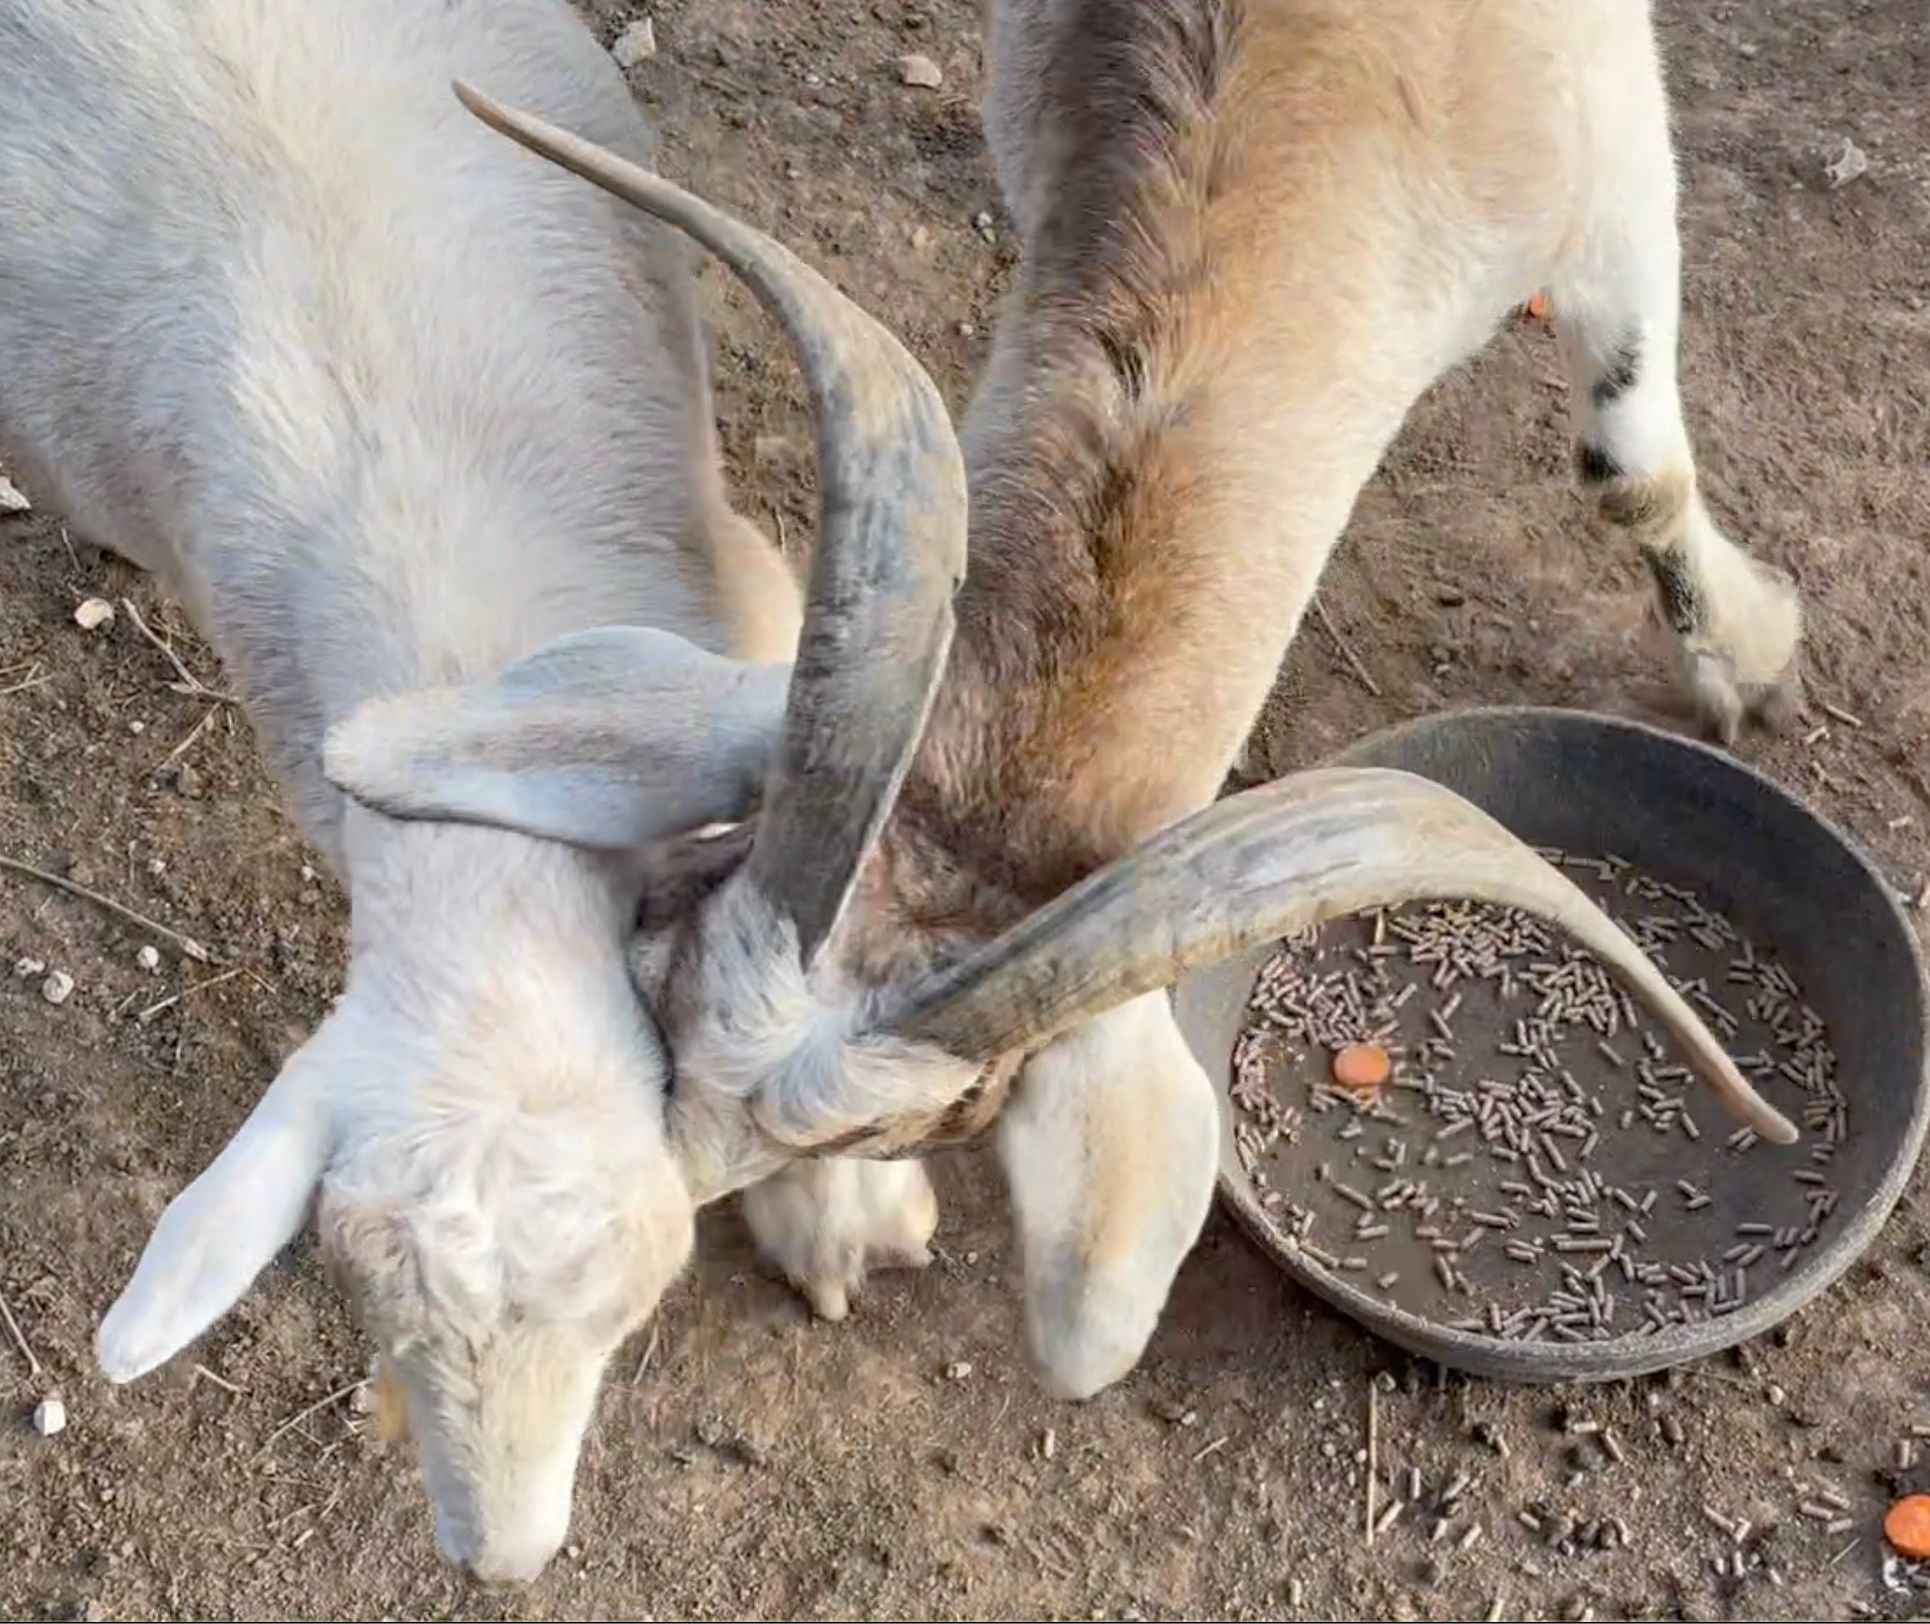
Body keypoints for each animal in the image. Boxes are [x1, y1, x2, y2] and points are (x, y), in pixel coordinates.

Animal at [329, 0, 1799, 1421]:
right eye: (653, 960)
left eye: (919, 1126)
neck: (1352, 77)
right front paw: (838, 1239)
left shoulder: (1611, 140)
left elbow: (1624, 467)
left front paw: (1755, 655)